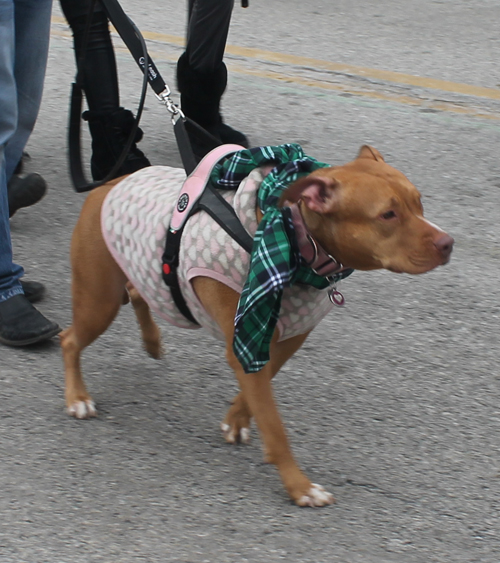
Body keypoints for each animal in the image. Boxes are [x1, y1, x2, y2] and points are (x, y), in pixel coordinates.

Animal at [59, 145, 454, 506]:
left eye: (418, 203)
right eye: (388, 214)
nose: (448, 242)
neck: (293, 242)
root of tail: (106, 185)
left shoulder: (286, 337)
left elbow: (260, 390)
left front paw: (235, 420)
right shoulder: (247, 341)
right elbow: (275, 427)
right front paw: (300, 487)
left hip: (133, 272)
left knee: (137, 292)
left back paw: (152, 341)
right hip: (98, 302)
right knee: (70, 340)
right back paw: (78, 397)